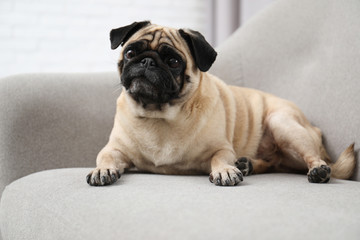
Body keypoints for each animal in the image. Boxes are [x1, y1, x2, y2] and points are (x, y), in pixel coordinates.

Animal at [86, 20, 356, 187]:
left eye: (173, 61)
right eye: (131, 53)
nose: (147, 62)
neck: (159, 116)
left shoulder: (222, 148)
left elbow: (220, 158)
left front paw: (225, 170)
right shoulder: (114, 149)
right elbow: (105, 158)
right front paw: (102, 170)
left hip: (283, 124)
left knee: (313, 158)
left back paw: (318, 170)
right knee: (274, 162)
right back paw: (247, 164)